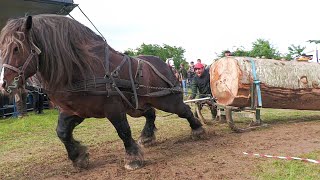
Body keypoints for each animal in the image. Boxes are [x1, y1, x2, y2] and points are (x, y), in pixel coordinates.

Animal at [0, 14, 205, 170]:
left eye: (16, 48)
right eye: (2, 50)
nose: (4, 84)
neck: (81, 67)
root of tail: (165, 65)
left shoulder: (113, 108)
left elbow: (123, 130)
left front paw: (133, 158)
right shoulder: (75, 111)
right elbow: (62, 132)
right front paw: (78, 156)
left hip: (167, 100)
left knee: (184, 111)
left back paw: (198, 129)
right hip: (139, 105)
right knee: (151, 114)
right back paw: (147, 136)